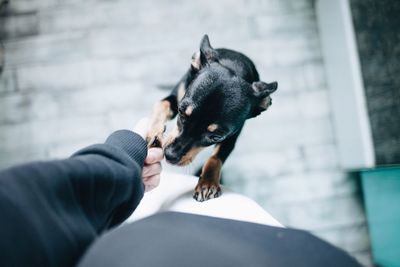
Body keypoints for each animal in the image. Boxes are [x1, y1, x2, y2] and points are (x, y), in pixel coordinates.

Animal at [147, 35, 278, 202]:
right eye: (181, 112)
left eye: (216, 136)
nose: (170, 155)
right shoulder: (176, 97)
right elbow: (161, 105)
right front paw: (153, 132)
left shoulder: (232, 135)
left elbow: (217, 157)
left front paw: (207, 183)